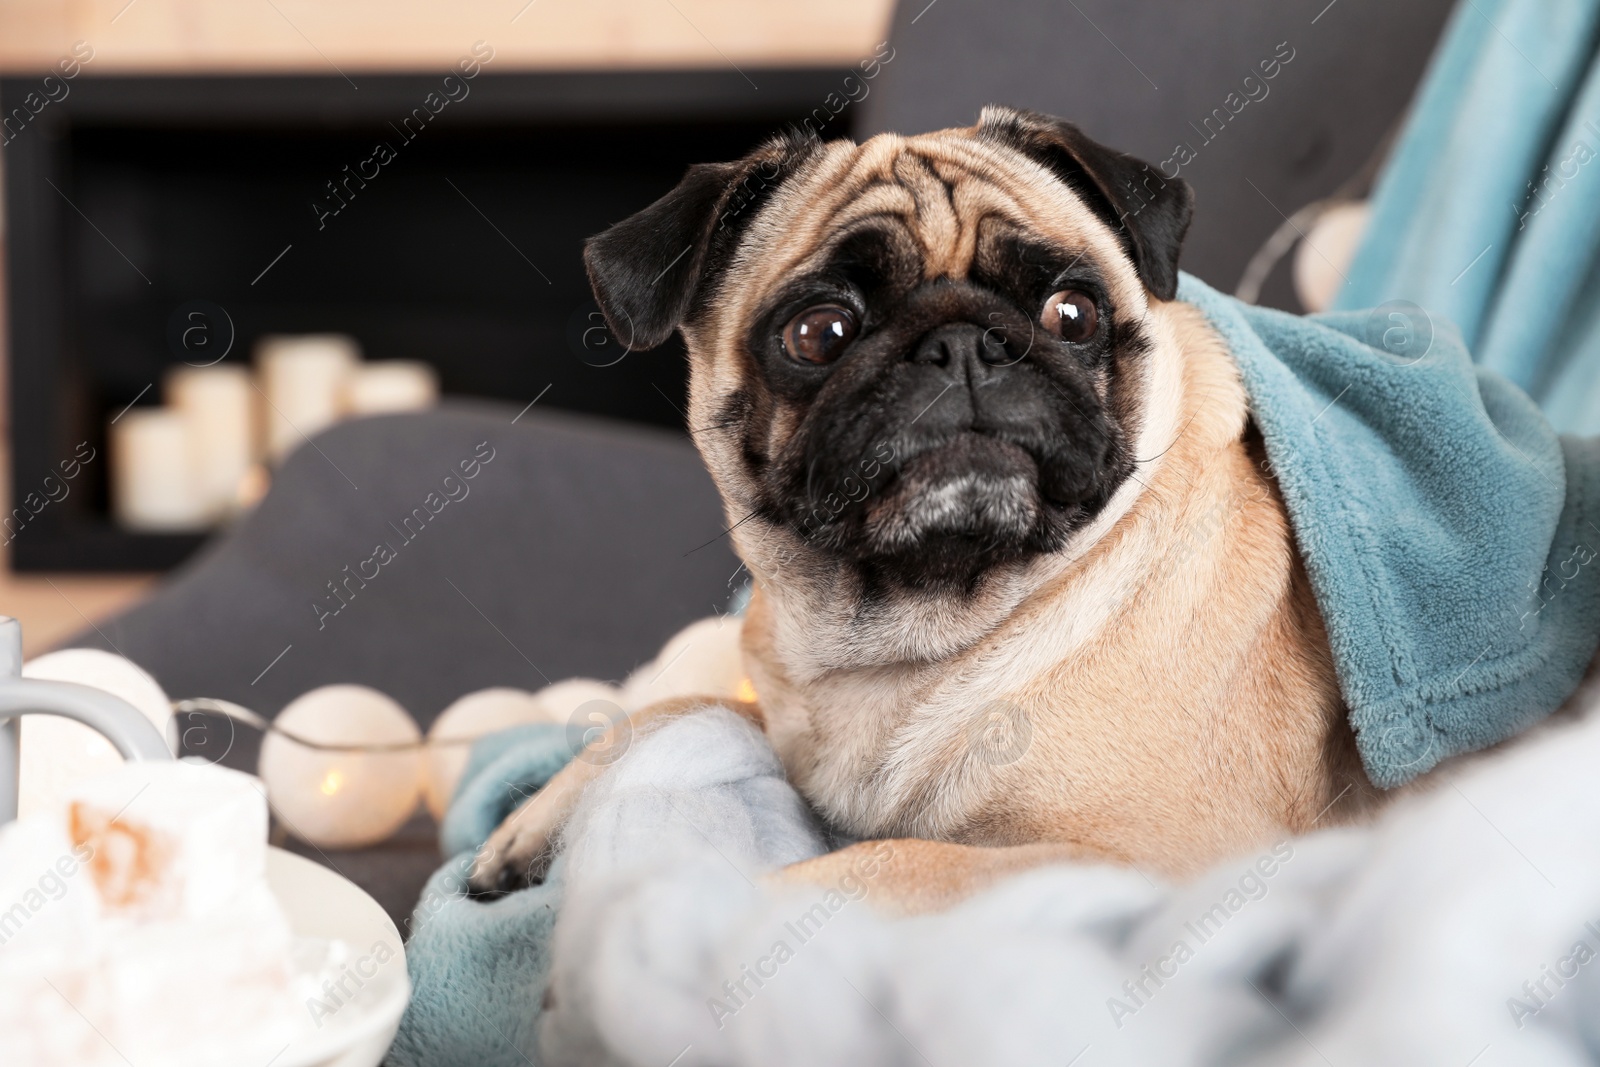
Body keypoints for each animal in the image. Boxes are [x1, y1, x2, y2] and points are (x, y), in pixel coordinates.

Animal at [467, 103, 1376, 915]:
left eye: (1071, 313)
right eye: (820, 332)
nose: (965, 344)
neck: (908, 641)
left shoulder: (1156, 859)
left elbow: (881, 863)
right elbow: (684, 705)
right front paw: (533, 821)